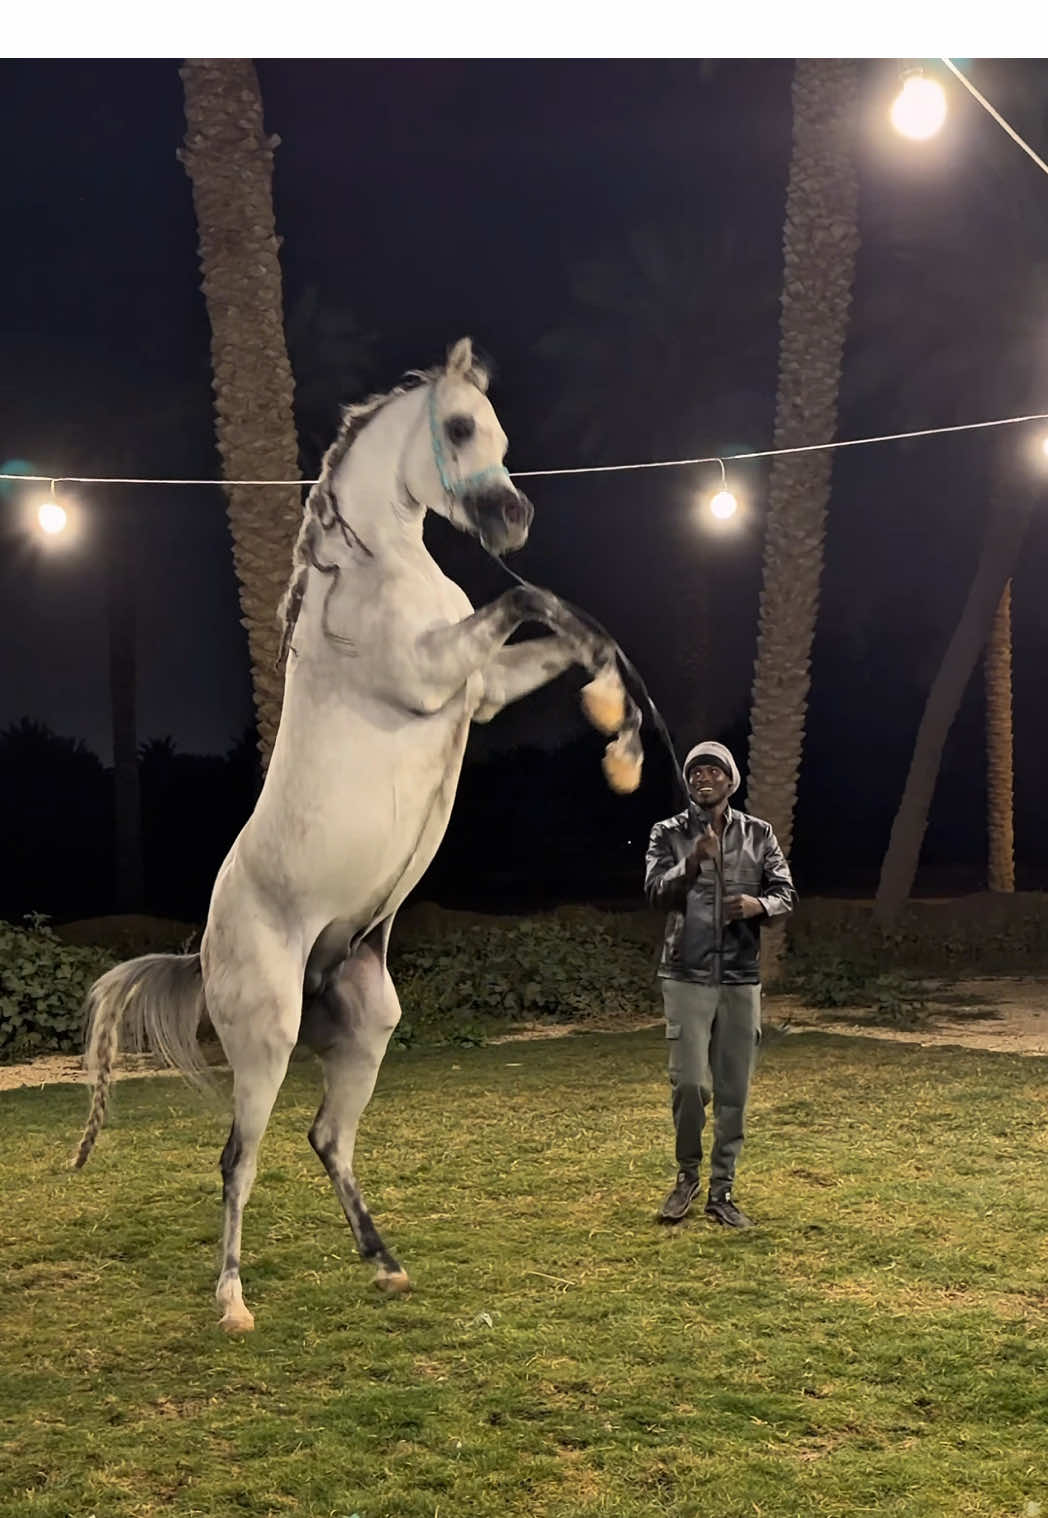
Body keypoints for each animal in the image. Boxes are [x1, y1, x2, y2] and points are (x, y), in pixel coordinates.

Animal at [73, 337, 644, 1333]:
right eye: (458, 427)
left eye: (499, 434)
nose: (514, 517)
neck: (380, 572)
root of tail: (203, 951)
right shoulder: (434, 671)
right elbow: (530, 600)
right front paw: (618, 723)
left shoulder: (482, 690)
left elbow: (564, 624)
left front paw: (619, 722)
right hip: (266, 1040)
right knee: (238, 1159)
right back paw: (232, 1302)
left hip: (366, 1024)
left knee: (326, 1137)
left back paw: (387, 1264)